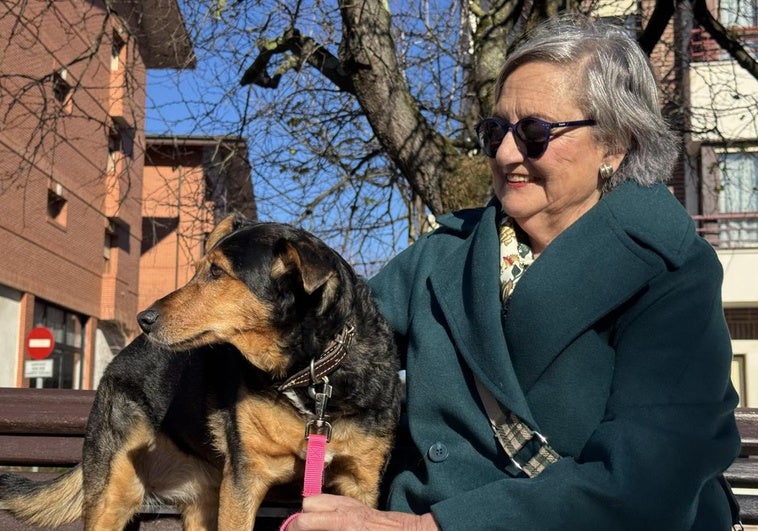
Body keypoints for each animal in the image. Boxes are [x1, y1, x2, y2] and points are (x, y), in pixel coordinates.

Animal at [0, 216, 404, 531]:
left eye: (216, 272)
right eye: (198, 269)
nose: (144, 319)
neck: (310, 375)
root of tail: (119, 359)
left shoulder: (361, 483)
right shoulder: (245, 480)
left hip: (203, 498)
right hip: (115, 491)